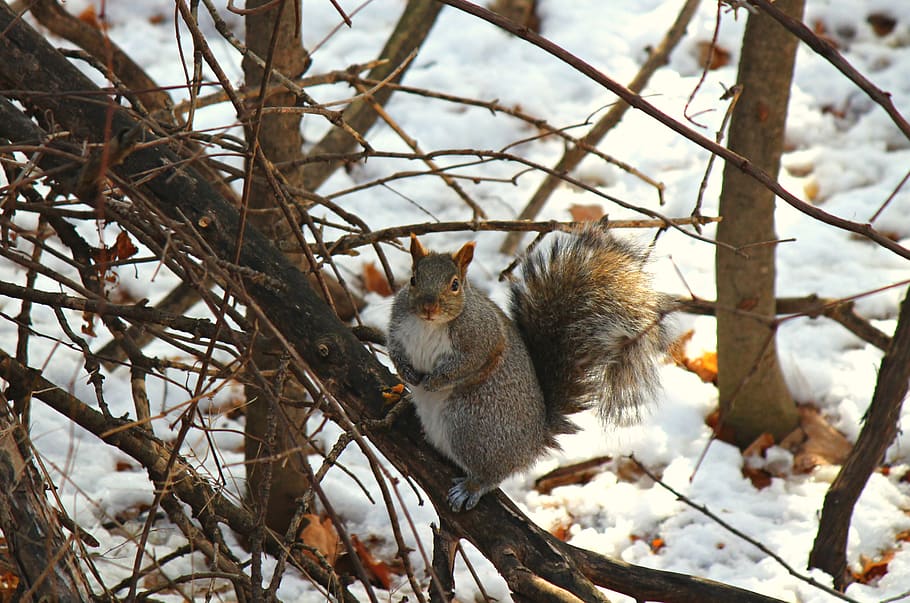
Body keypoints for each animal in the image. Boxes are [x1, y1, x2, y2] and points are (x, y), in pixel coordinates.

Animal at [387, 224, 674, 511]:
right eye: (413, 279)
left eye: (455, 285)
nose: (428, 307)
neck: (428, 324)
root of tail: (533, 444)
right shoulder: (397, 328)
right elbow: (394, 350)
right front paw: (406, 373)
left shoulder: (482, 339)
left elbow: (466, 365)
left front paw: (433, 382)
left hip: (470, 426)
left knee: (493, 474)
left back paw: (472, 487)